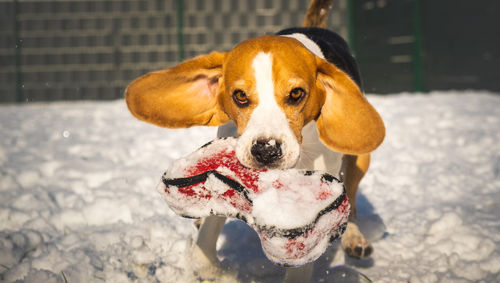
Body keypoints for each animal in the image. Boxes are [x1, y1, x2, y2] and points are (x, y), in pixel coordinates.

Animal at [124, 2, 382, 282]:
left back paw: (354, 237)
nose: (266, 150)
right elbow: (203, 252)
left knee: (351, 204)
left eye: (296, 94)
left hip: (360, 160)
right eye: (240, 96)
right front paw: (221, 271)